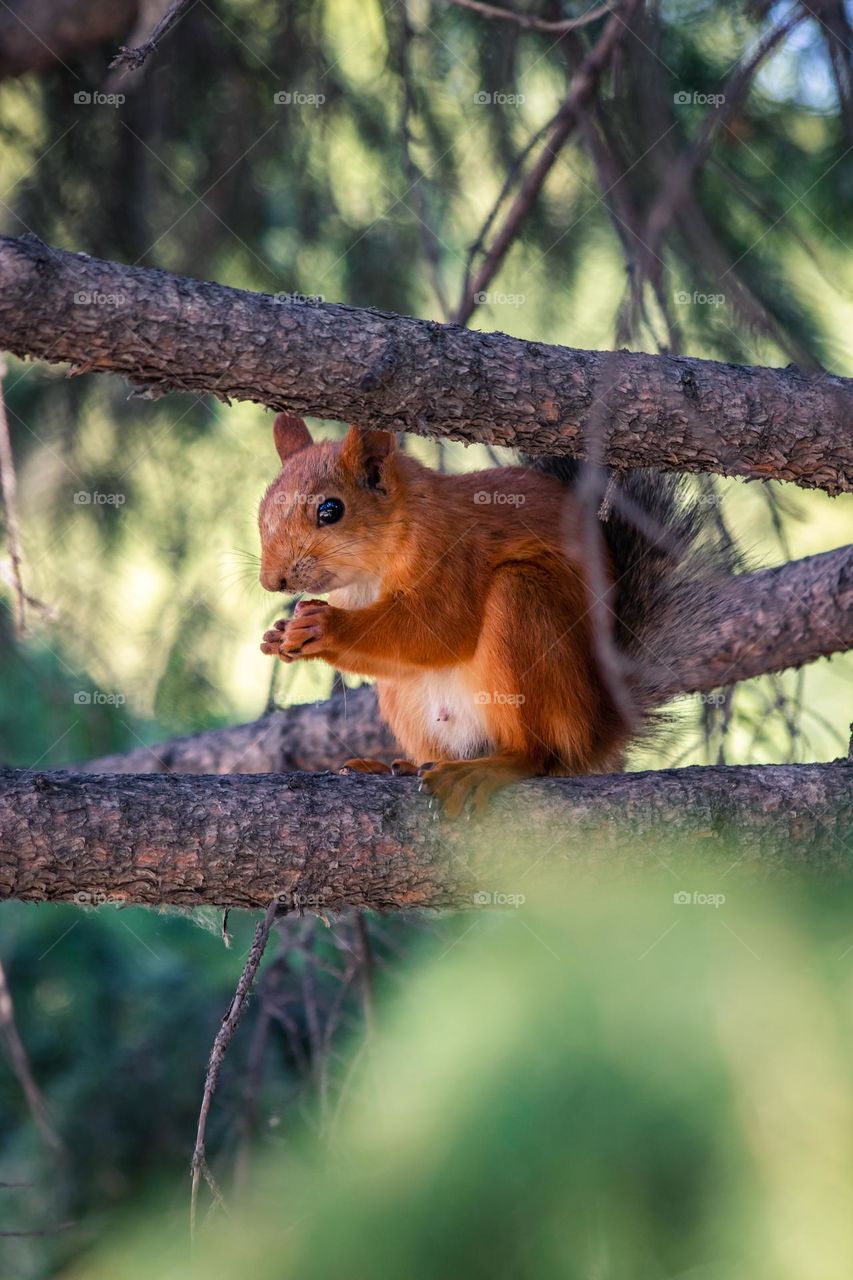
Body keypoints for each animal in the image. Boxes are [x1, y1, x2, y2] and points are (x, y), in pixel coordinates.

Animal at [258, 413, 723, 817]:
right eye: (262, 512)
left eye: (330, 510)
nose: (271, 581)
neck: (369, 571)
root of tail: (598, 731)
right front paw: (280, 634)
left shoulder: (453, 552)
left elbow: (441, 629)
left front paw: (324, 625)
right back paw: (399, 767)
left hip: (525, 610)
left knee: (541, 755)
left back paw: (490, 768)